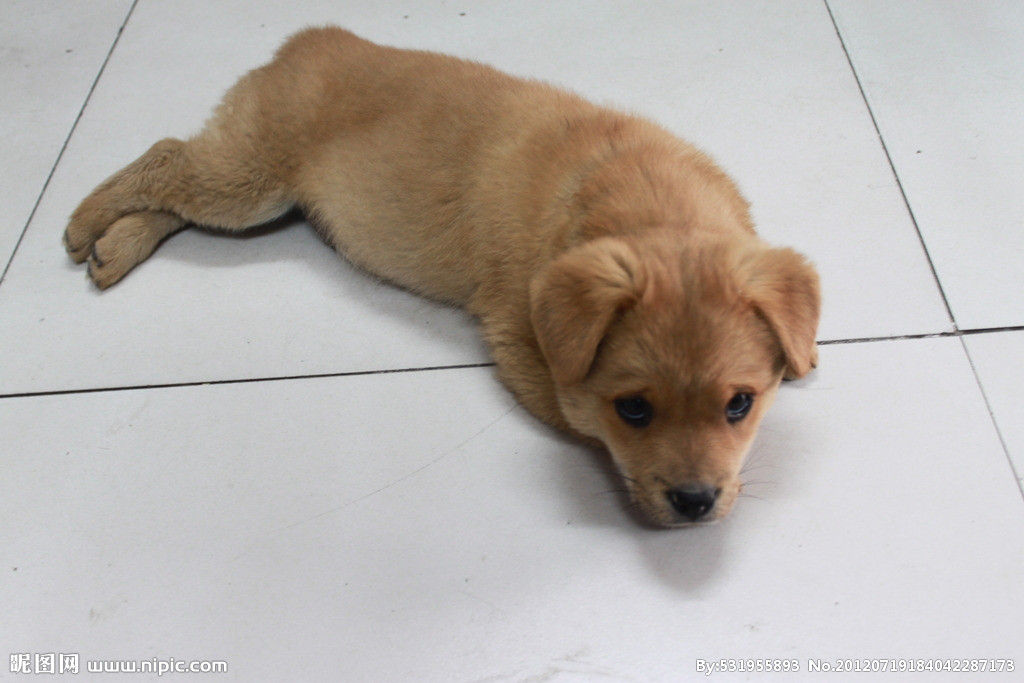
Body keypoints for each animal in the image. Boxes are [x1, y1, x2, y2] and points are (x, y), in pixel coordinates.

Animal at [64, 26, 819, 528]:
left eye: (740, 404)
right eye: (633, 409)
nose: (695, 504)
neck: (637, 195)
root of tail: (312, 38)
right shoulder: (520, 340)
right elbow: (574, 414)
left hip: (246, 185)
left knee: (173, 192)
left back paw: (114, 247)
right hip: (249, 177)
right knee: (167, 158)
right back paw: (83, 223)